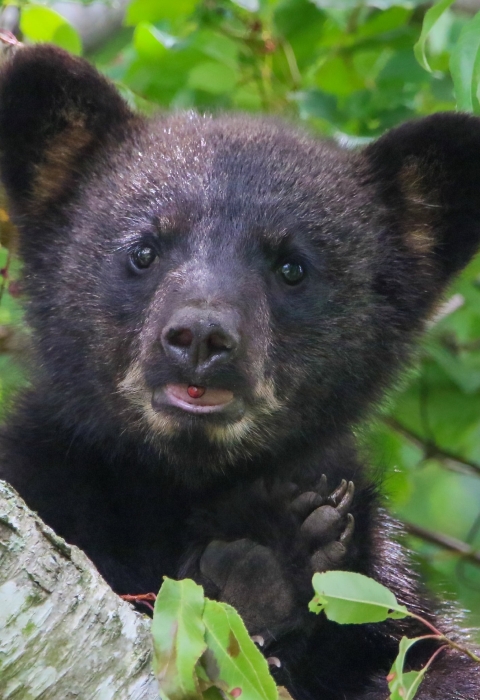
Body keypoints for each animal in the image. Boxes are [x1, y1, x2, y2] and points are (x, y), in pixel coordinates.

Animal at [0, 44, 479, 699]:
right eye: (143, 249)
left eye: (292, 266)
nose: (200, 337)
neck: (181, 482)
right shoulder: (43, 477)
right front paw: (263, 555)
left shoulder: (380, 585)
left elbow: (432, 663)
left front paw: (270, 552)